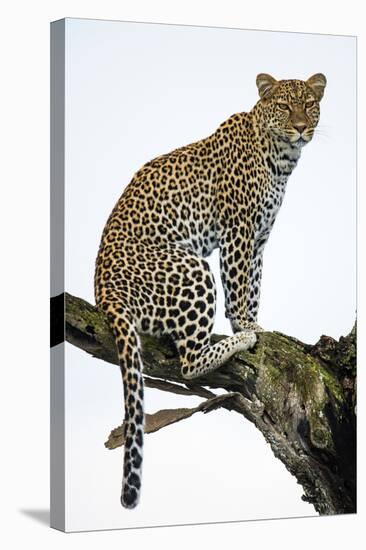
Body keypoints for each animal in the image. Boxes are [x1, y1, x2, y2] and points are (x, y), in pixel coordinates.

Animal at [93, 72, 326, 508]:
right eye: (284, 106)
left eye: (309, 103)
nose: (302, 127)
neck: (280, 158)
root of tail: (105, 295)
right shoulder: (238, 231)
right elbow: (238, 288)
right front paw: (247, 328)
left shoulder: (259, 238)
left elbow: (254, 285)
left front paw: (255, 323)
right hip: (191, 267)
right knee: (188, 362)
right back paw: (233, 345)